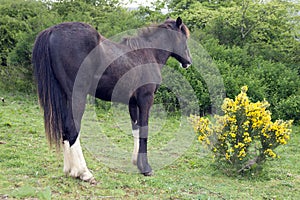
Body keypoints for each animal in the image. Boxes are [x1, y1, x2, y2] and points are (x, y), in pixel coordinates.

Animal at [32, 17, 192, 183]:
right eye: (184, 37)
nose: (188, 62)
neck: (148, 54)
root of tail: (52, 31)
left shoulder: (132, 103)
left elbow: (136, 128)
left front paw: (136, 162)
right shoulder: (146, 99)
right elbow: (144, 129)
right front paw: (146, 168)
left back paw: (70, 170)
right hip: (77, 96)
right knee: (72, 128)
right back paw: (83, 172)